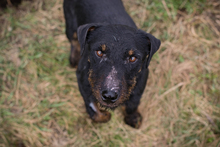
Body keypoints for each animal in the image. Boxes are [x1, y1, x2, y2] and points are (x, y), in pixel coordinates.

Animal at [62, 0, 161, 128]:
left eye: (132, 58)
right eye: (99, 52)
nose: (109, 96)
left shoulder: (142, 78)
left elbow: (133, 102)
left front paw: (133, 118)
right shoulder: (82, 78)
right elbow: (94, 109)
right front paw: (105, 115)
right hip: (70, 23)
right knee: (73, 38)